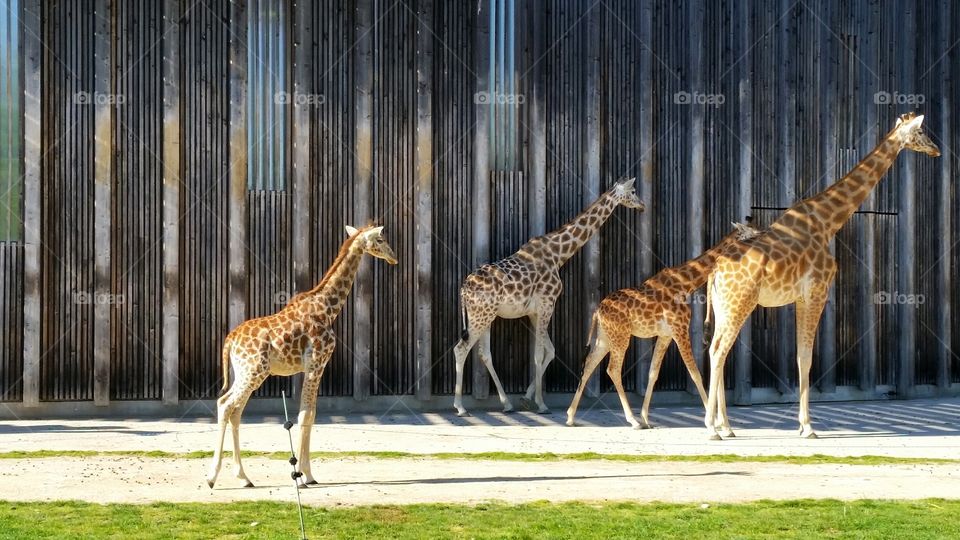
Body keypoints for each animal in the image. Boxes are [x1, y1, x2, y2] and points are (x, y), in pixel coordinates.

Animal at [205, 225, 398, 488]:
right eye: (380, 239)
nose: (393, 257)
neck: (327, 308)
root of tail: (230, 340)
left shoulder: (311, 367)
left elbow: (310, 414)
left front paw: (306, 473)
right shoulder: (317, 363)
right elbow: (307, 414)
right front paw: (304, 475)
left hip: (243, 373)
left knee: (234, 410)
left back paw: (244, 477)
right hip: (254, 372)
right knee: (226, 405)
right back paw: (212, 477)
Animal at [453, 178, 645, 416]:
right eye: (634, 191)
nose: (642, 206)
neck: (558, 254)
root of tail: (464, 288)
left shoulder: (535, 312)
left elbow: (550, 351)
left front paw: (527, 398)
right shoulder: (547, 305)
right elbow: (539, 354)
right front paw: (541, 404)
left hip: (485, 316)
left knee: (483, 353)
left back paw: (506, 403)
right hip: (480, 317)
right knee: (460, 349)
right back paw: (460, 407)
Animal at [565, 220, 761, 429]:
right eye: (753, 234)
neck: (686, 284)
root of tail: (597, 312)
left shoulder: (666, 334)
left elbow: (653, 372)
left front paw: (646, 418)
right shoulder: (680, 329)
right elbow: (695, 373)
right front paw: (714, 422)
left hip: (605, 337)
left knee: (589, 364)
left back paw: (570, 416)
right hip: (620, 337)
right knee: (612, 369)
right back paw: (631, 420)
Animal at [704, 112, 940, 440]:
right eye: (920, 132)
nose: (936, 150)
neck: (828, 222)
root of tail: (714, 272)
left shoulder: (802, 298)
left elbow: (801, 356)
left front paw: (803, 424)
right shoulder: (817, 292)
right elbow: (806, 357)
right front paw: (808, 427)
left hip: (726, 306)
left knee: (719, 351)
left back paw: (726, 427)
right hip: (739, 303)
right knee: (717, 351)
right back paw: (712, 428)